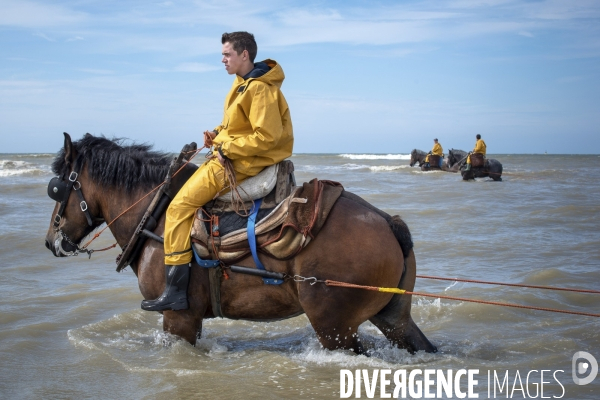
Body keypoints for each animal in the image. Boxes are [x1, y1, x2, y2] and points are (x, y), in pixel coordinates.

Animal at [43, 133, 436, 354]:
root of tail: (386, 221)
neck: (156, 214)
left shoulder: (177, 318)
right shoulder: (189, 320)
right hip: (393, 317)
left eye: (58, 187)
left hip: (334, 328)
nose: (50, 241)